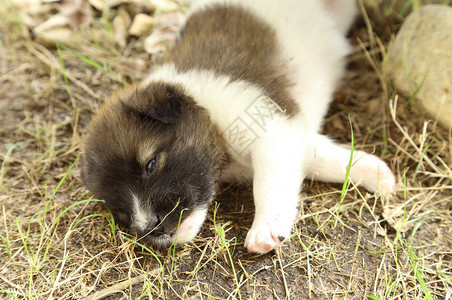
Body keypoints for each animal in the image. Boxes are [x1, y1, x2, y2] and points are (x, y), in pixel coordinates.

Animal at [81, 0, 396, 253]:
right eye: (121, 211)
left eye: (151, 164)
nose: (152, 228)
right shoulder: (295, 137)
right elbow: (328, 161)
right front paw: (379, 176)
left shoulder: (270, 129)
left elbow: (267, 184)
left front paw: (265, 229)